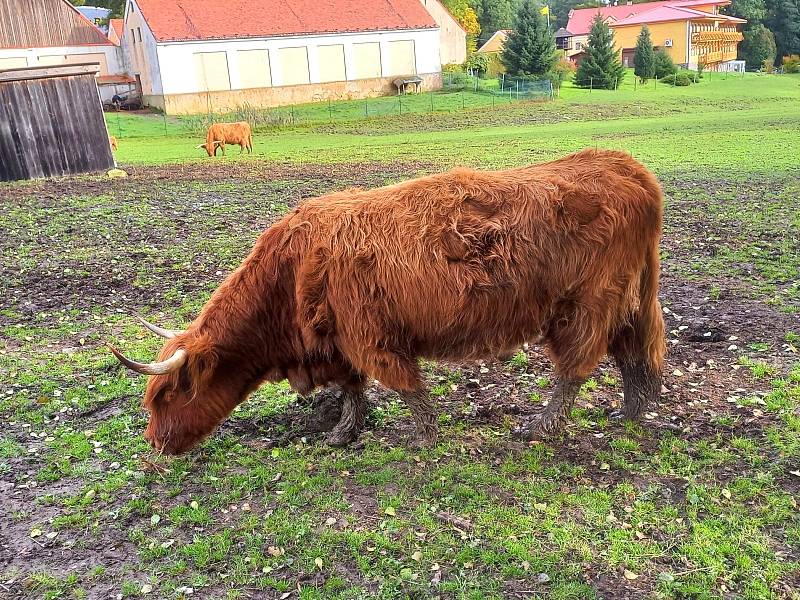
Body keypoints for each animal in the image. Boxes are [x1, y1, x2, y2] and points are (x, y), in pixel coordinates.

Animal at [109, 150, 664, 454]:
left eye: (166, 396)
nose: (153, 443)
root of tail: (623, 165)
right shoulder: (336, 341)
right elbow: (353, 389)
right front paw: (343, 433)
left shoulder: (368, 336)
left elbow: (403, 386)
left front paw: (424, 436)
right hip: (629, 299)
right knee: (635, 355)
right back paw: (632, 412)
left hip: (586, 305)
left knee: (578, 367)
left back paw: (543, 426)